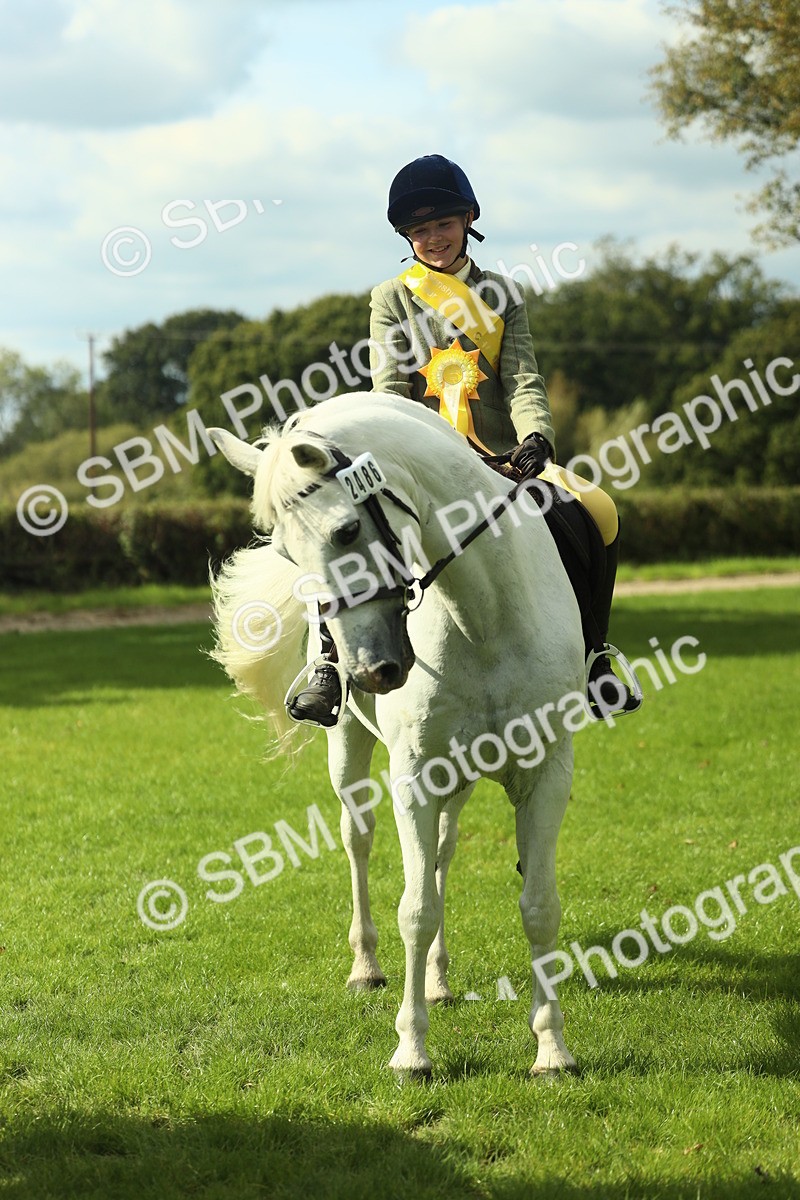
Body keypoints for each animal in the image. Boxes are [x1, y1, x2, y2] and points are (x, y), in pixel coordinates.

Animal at [207, 391, 588, 1077]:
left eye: (346, 530)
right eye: (287, 556)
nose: (371, 671)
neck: (484, 616)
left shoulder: (548, 769)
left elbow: (539, 906)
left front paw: (552, 1049)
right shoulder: (413, 775)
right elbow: (415, 908)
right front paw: (411, 1049)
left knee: (441, 853)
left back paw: (437, 979)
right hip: (351, 754)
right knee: (358, 839)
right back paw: (368, 967)